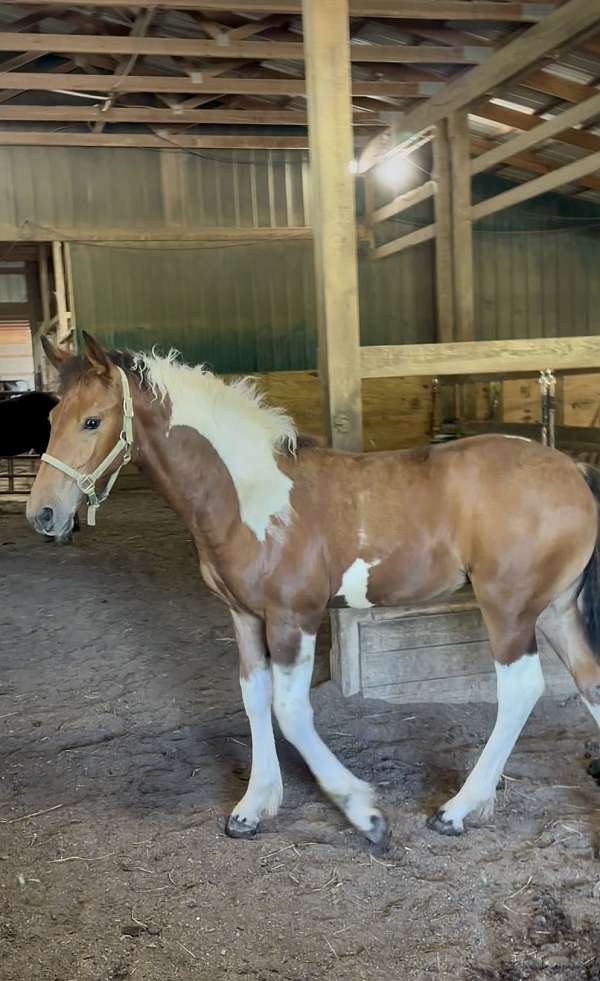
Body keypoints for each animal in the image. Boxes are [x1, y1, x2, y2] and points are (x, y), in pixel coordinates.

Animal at [26, 332, 600, 844]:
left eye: (92, 420)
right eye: (51, 420)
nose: (43, 514)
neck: (249, 496)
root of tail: (574, 468)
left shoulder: (293, 617)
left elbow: (291, 712)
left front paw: (365, 813)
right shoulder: (244, 616)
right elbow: (254, 699)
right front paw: (253, 807)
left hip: (508, 607)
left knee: (521, 689)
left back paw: (457, 810)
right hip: (554, 608)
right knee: (589, 678)